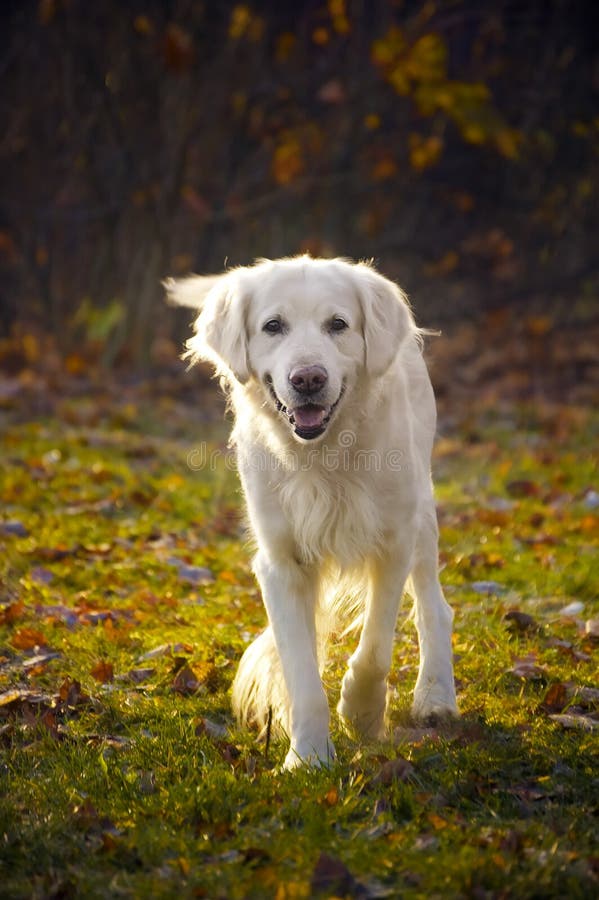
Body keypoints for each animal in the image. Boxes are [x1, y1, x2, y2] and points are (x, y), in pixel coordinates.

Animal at [166, 256, 458, 768]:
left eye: (337, 324)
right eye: (273, 326)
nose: (308, 379)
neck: (322, 457)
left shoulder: (393, 542)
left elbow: (375, 648)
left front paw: (362, 713)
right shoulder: (281, 562)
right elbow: (301, 670)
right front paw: (308, 757)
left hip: (420, 513)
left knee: (433, 607)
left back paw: (436, 696)